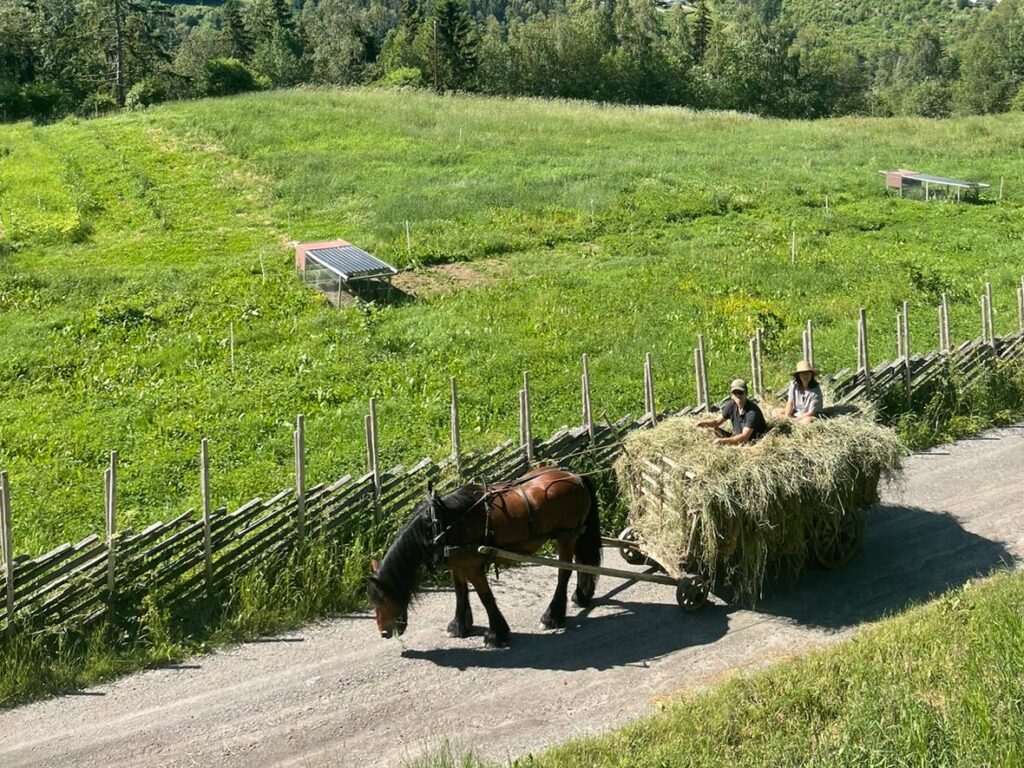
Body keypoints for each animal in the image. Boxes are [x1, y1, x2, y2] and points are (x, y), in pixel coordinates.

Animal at [370, 468, 598, 651]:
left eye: (382, 598)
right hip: (574, 535)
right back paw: (580, 596)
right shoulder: (457, 566)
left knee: (564, 573)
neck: (442, 524)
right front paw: (459, 626)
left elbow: (485, 597)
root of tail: (575, 476)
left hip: (566, 536)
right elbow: (460, 593)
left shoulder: (473, 567)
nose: (383, 632)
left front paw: (496, 635)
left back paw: (551, 616)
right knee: (580, 563)